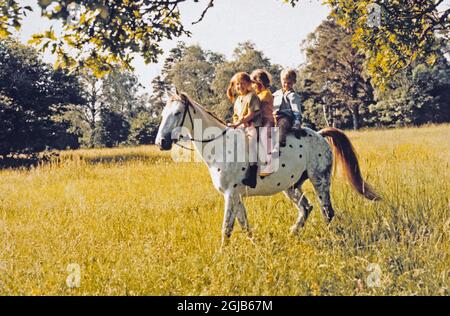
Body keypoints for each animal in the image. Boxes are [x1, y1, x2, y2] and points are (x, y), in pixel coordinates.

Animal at [155, 90, 380, 246]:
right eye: (163, 114)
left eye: (177, 113)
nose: (161, 142)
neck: (220, 146)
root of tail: (320, 135)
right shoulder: (236, 195)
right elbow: (243, 224)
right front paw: (254, 245)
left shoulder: (230, 194)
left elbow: (227, 227)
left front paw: (222, 253)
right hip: (291, 187)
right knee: (306, 208)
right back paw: (292, 233)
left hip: (320, 181)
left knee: (327, 211)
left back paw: (329, 236)